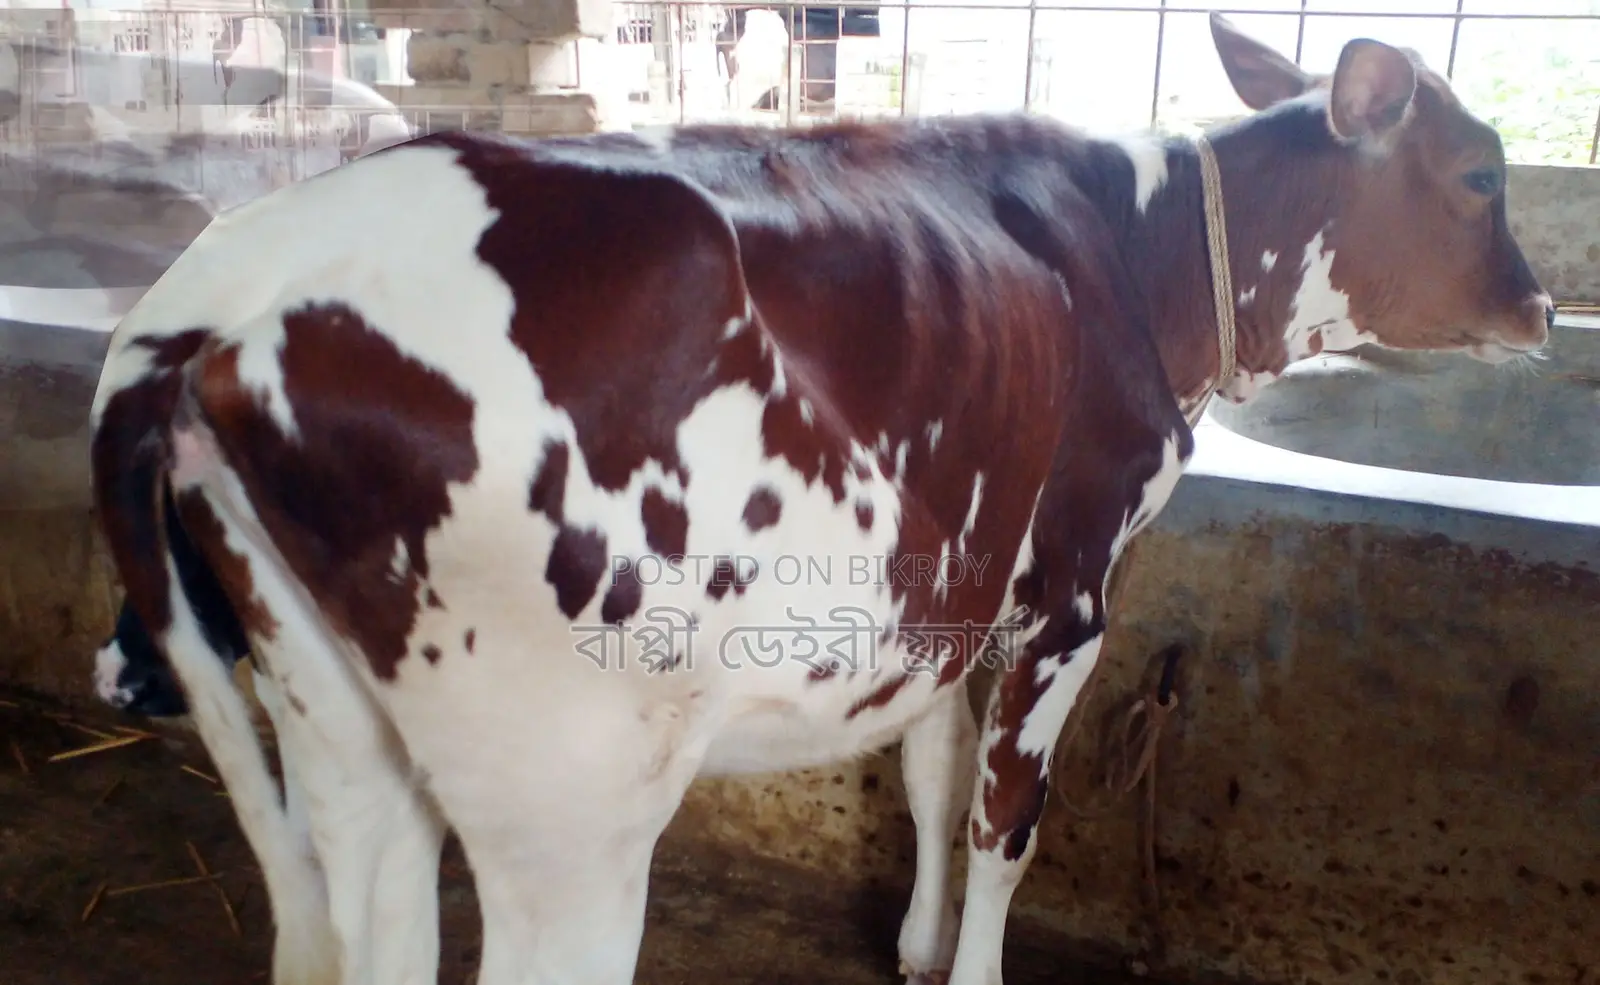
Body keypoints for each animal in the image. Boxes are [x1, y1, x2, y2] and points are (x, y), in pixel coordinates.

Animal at [87, 14, 1552, 985]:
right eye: (1482, 175)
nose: (1543, 308)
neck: (1140, 260)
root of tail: (238, 298)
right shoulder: (1072, 587)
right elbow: (1005, 818)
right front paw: (971, 964)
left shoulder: (957, 576)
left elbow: (929, 768)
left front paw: (913, 947)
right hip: (570, 789)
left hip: (336, 729)